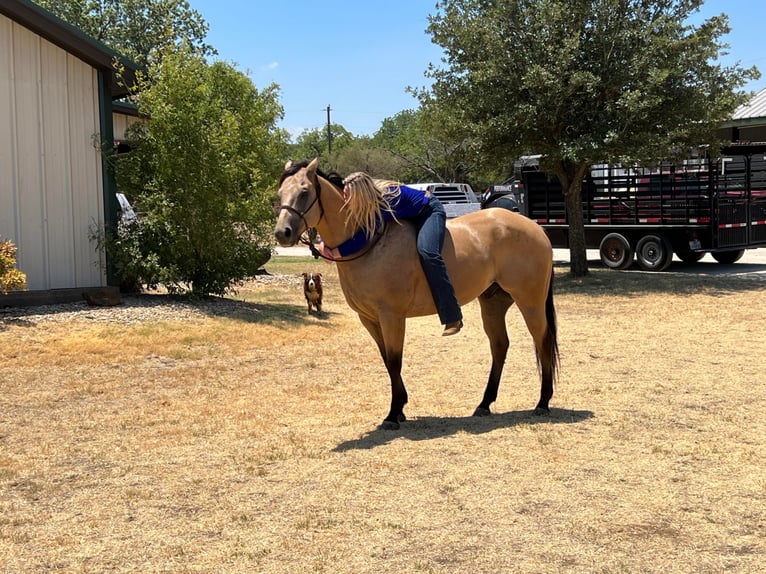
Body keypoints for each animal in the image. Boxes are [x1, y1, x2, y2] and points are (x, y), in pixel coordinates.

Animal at [274, 160, 560, 430]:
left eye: (304, 191)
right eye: (279, 193)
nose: (282, 233)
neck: (369, 242)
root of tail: (536, 228)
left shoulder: (391, 316)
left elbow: (394, 361)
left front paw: (392, 415)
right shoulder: (369, 319)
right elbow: (387, 362)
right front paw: (400, 408)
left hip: (530, 301)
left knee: (543, 341)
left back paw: (542, 403)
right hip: (493, 303)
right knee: (500, 346)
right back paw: (484, 404)